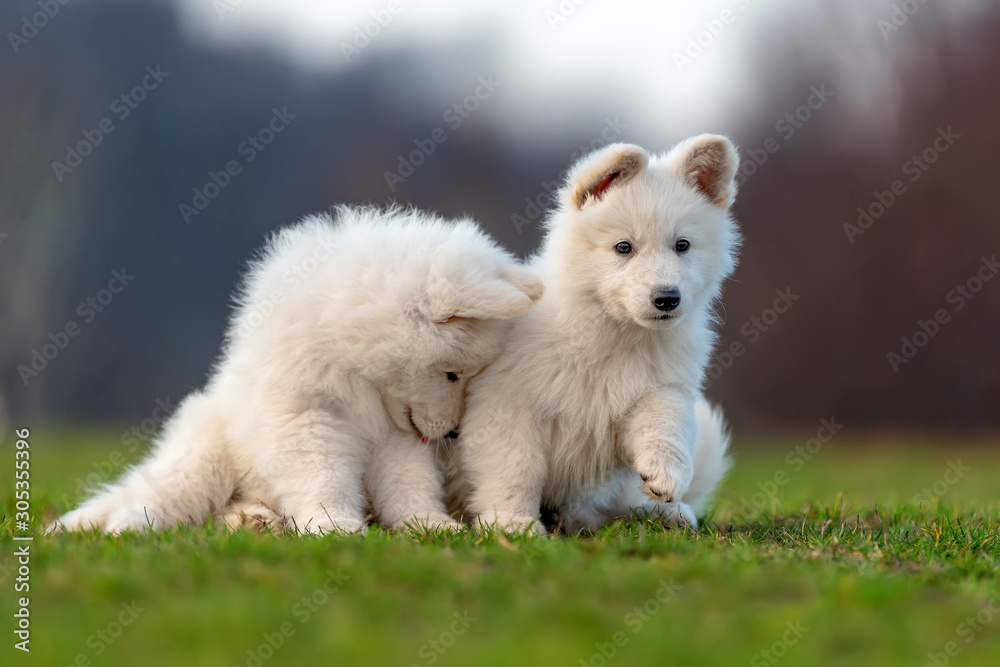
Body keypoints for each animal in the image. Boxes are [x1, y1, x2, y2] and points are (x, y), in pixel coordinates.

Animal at [48, 206, 540, 536]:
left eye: (469, 376)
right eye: (452, 374)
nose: (454, 433)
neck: (359, 372)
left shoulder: (397, 435)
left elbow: (408, 482)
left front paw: (428, 524)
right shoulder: (308, 418)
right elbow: (325, 478)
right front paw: (334, 525)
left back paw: (253, 519)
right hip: (205, 460)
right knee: (160, 497)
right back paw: (125, 525)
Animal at [458, 134, 740, 532]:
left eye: (682, 245)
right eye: (623, 247)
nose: (667, 298)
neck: (612, 334)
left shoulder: (656, 388)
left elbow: (665, 421)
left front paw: (666, 474)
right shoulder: (507, 408)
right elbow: (515, 470)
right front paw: (512, 523)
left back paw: (664, 514)